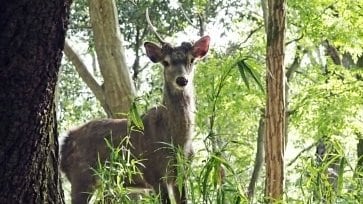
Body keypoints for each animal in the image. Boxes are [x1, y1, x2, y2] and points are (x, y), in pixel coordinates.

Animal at [60, 9, 210, 204]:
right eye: (166, 62)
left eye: (191, 60)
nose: (182, 80)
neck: (177, 142)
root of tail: (65, 143)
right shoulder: (153, 172)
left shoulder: (182, 173)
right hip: (82, 175)